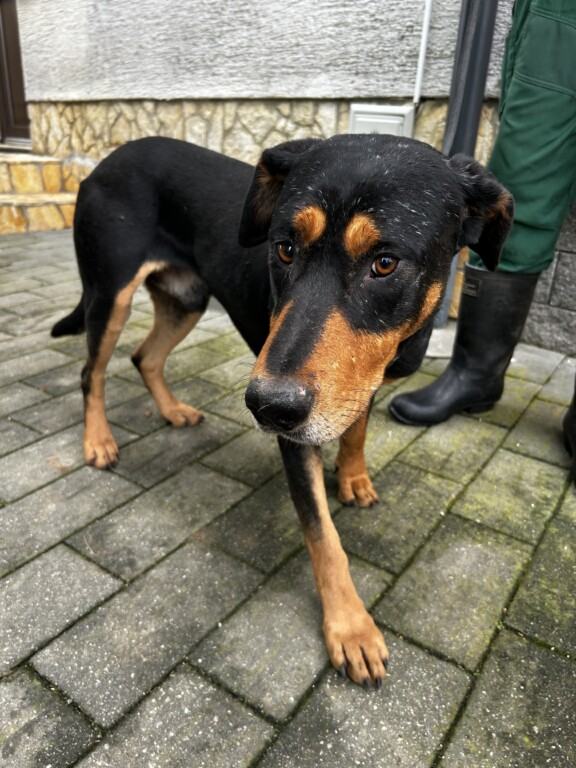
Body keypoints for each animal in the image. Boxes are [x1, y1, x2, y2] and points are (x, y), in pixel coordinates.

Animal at [52, 135, 512, 688]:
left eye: (385, 263)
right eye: (284, 248)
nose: (268, 407)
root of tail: (106, 161)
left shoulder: (357, 382)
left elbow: (356, 430)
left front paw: (353, 478)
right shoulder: (299, 435)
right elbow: (324, 538)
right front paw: (350, 628)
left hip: (187, 299)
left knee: (146, 357)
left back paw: (173, 411)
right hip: (110, 292)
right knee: (92, 372)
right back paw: (98, 441)